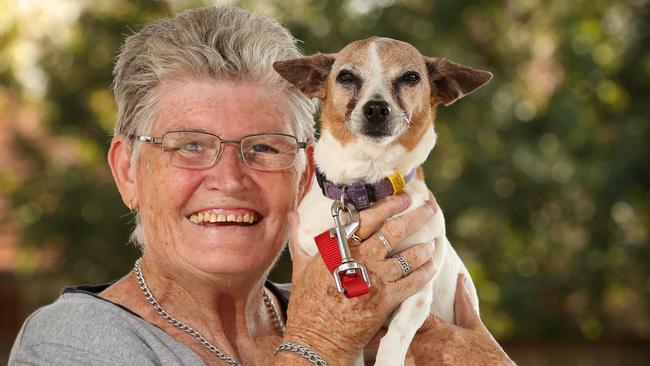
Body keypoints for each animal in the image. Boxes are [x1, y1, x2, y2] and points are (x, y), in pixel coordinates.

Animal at [274, 35, 492, 364]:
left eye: (411, 77)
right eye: (346, 76)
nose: (376, 108)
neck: (365, 186)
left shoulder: (419, 286)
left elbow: (397, 334)